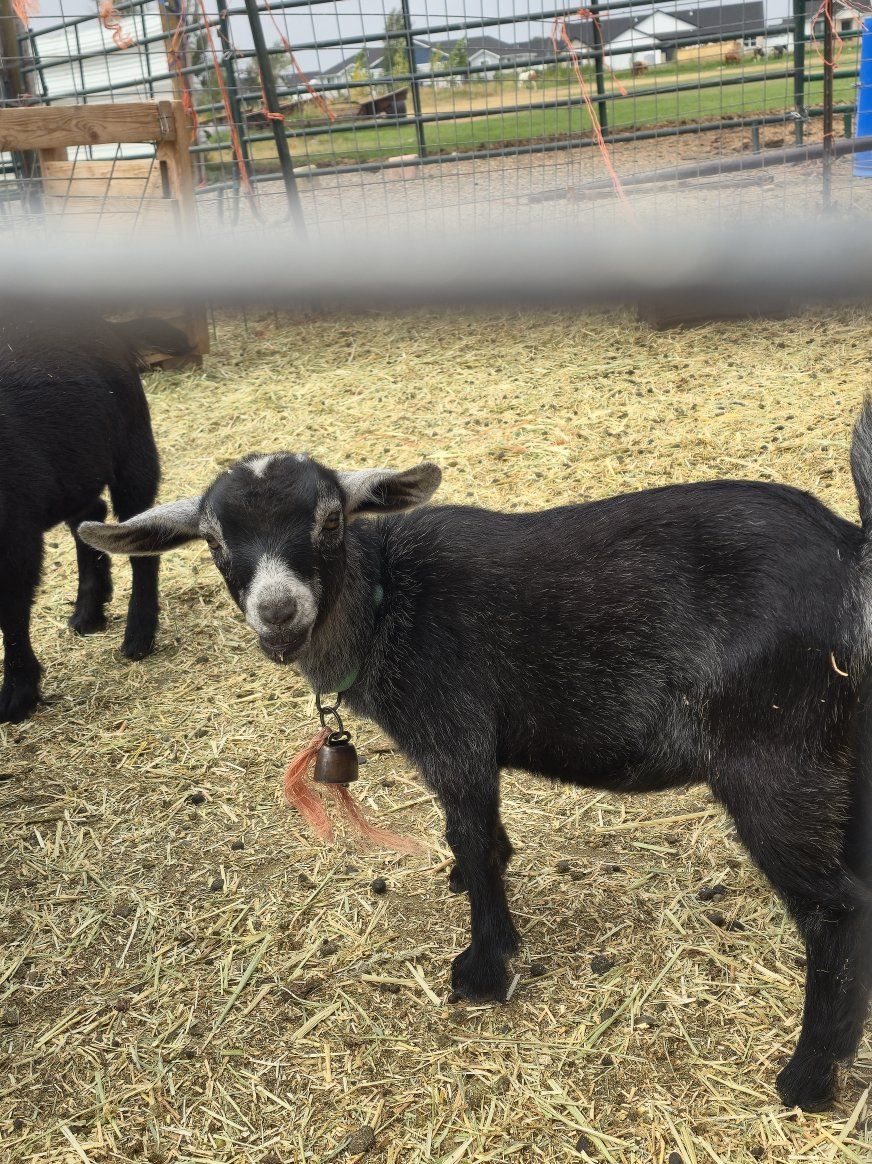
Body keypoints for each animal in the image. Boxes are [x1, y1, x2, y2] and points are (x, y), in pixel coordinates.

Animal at [0, 310, 189, 722]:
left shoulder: (16, 539)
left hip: (133, 450)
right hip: (73, 465)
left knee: (141, 545)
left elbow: (12, 614)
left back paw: (138, 634)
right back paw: (90, 611)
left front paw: (18, 695)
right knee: (91, 516)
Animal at [81, 415, 872, 1111]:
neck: (386, 599)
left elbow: (472, 833)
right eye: (214, 540)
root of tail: (849, 553)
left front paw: (485, 969)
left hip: (773, 754)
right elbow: (481, 840)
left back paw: (808, 1078)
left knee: (836, 908)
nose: (278, 612)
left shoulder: (453, 732)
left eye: (331, 521)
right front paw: (478, 899)